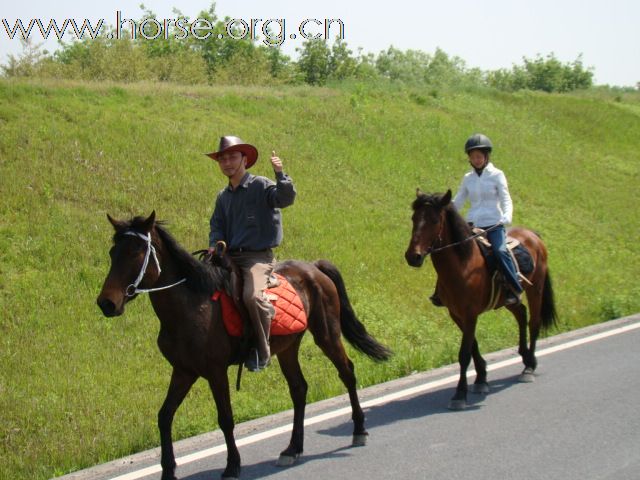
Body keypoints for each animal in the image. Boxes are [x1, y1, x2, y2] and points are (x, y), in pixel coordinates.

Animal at [95, 212, 390, 478]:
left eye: (135, 253)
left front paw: (232, 465)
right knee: (299, 389)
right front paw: (168, 470)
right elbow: (164, 416)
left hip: (327, 334)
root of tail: (314, 268)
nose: (106, 303)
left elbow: (225, 418)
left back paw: (359, 430)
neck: (191, 305)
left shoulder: (215, 372)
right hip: (287, 348)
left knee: (347, 373)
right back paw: (293, 448)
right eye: (112, 252)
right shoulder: (183, 371)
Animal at [404, 189, 556, 410]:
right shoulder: (457, 314)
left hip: (535, 289)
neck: (463, 265)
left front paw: (460, 394)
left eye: (434, 220)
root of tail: (533, 235)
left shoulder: (470, 314)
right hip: (508, 299)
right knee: (521, 313)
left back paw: (529, 367)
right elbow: (473, 346)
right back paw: (525, 356)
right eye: (414, 218)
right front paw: (481, 379)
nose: (412, 257)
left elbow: (464, 353)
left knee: (533, 322)